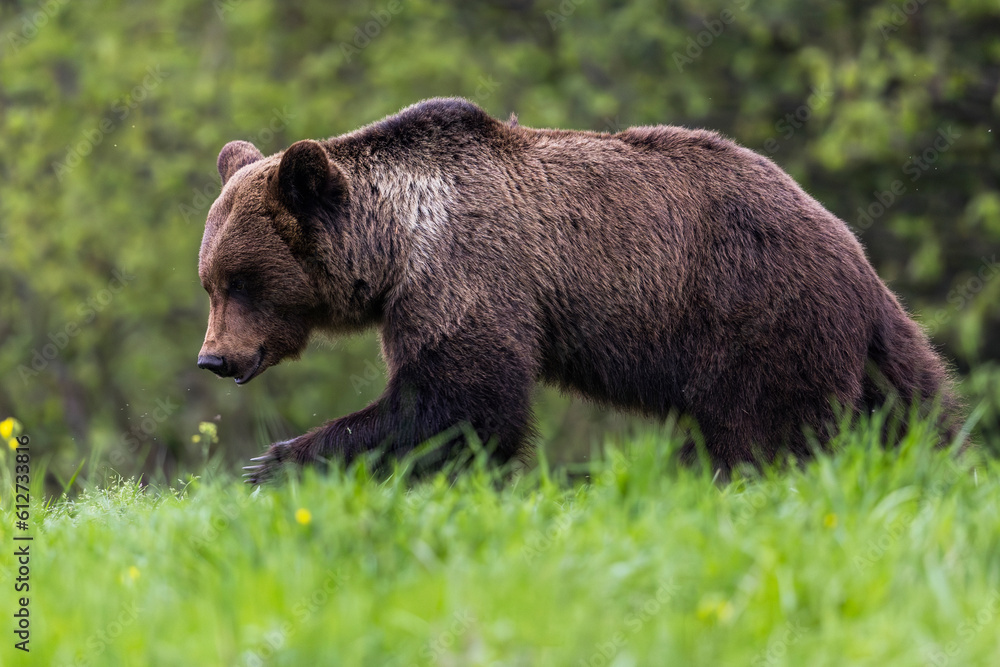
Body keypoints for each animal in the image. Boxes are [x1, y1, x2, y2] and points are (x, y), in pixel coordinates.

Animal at [196, 97, 962, 483]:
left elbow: (462, 402)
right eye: (210, 282)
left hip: (758, 315)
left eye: (242, 281)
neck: (396, 246)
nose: (214, 359)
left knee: (768, 429)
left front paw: (274, 461)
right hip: (864, 344)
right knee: (915, 403)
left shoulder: (467, 273)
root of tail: (852, 253)